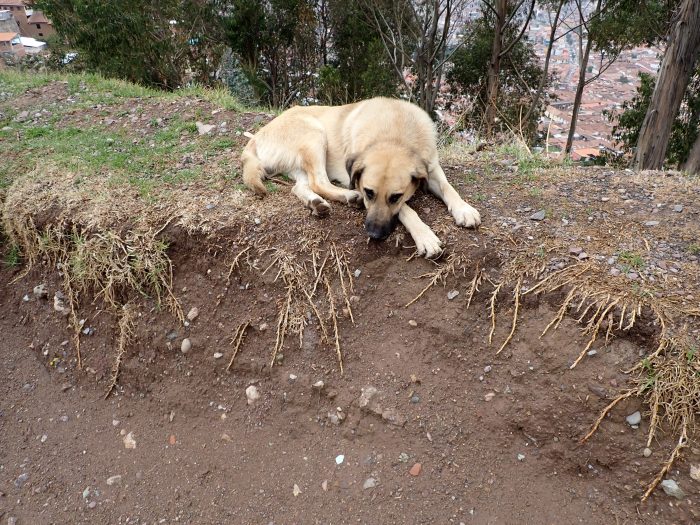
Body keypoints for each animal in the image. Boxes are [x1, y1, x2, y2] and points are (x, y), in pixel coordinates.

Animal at [242, 96, 482, 258]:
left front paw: (464, 209)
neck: (394, 135)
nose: (374, 234)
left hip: (301, 162)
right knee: (318, 181)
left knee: (301, 186)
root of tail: (256, 137)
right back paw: (348, 196)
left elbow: (448, 187)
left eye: (395, 197)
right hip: (315, 134)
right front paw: (425, 235)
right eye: (369, 193)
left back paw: (316, 203)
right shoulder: (359, 180)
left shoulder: (431, 168)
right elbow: (407, 210)